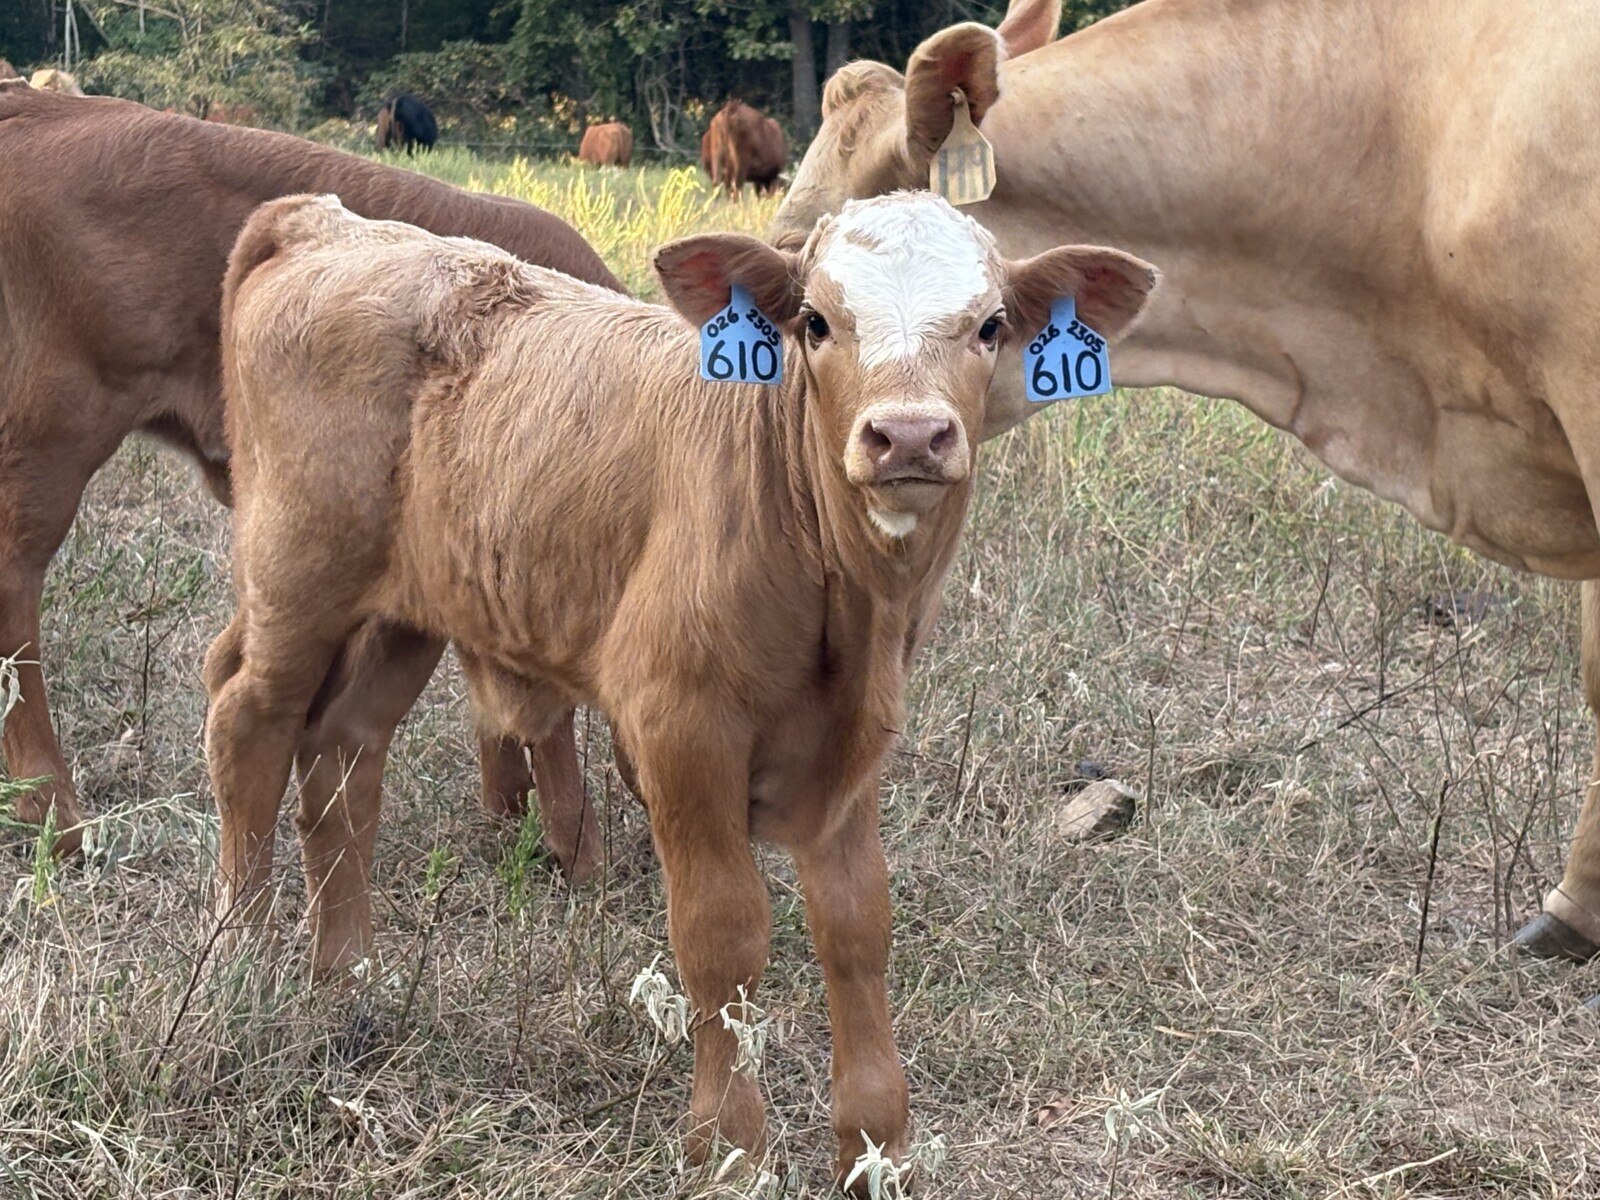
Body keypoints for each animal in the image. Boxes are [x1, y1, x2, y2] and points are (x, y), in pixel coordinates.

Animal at [0, 80, 607, 880]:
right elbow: (547, 708)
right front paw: (579, 847)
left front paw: (510, 807)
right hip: (51, 435)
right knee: (14, 593)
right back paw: (55, 815)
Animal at [207, 190, 1157, 1184]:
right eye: (816, 322)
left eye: (991, 325)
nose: (907, 435)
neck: (845, 607)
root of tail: (328, 220)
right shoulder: (680, 729)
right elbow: (721, 934)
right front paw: (731, 1146)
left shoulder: (855, 745)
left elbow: (859, 927)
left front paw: (876, 1143)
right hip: (295, 571)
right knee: (248, 720)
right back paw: (241, 956)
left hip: (405, 609)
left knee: (344, 751)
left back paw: (347, 974)